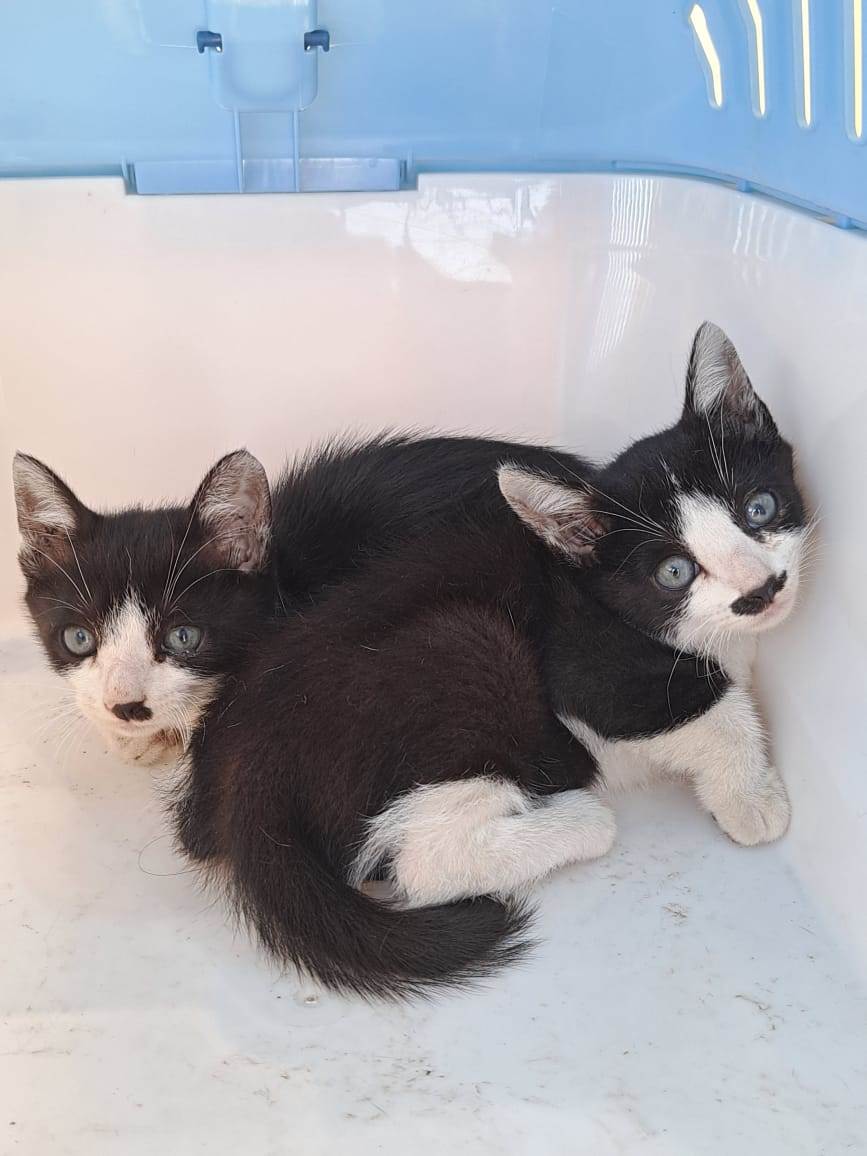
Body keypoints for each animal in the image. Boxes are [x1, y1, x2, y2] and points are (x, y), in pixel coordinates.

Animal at [13, 322, 809, 998]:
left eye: (760, 510)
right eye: (674, 572)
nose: (761, 590)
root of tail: (253, 773)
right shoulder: (587, 657)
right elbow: (707, 705)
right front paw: (754, 800)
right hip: (472, 654)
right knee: (425, 862)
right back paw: (577, 820)